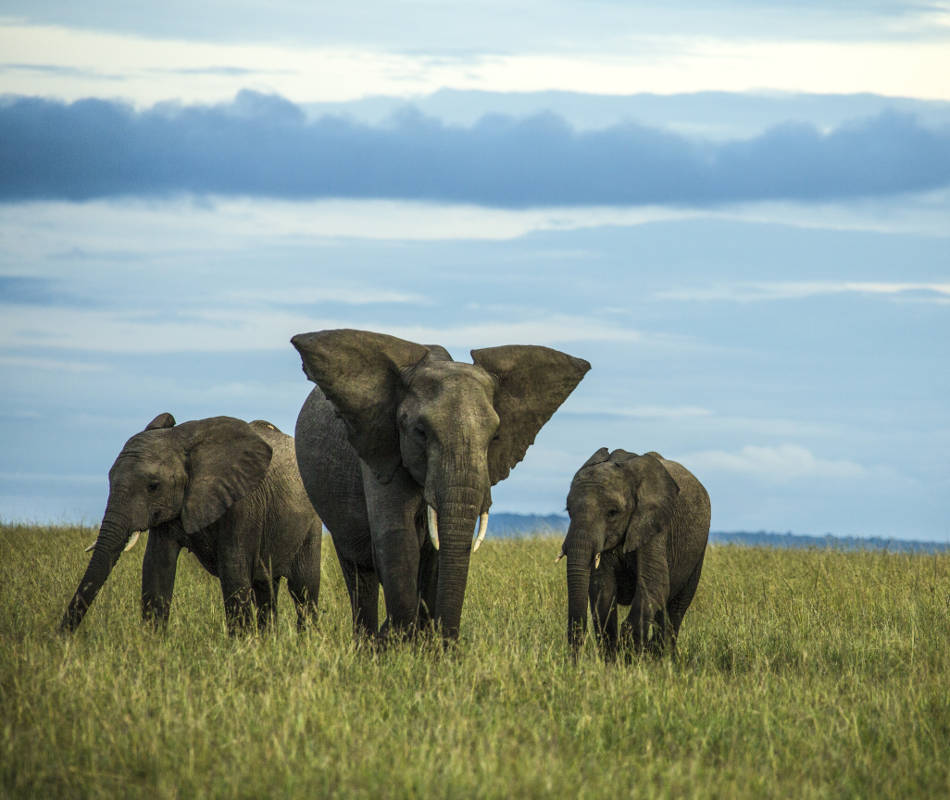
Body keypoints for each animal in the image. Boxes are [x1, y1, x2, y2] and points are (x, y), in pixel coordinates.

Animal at [63, 416, 326, 636]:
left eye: (153, 486)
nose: (61, 638)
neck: (183, 440)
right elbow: (157, 567)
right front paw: (152, 647)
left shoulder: (243, 504)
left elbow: (234, 571)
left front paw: (241, 650)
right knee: (266, 588)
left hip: (311, 523)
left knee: (303, 589)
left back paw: (306, 642)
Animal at [290, 328, 592, 640]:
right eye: (420, 432)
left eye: (495, 438)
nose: (451, 644)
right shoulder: (382, 448)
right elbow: (397, 538)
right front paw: (400, 644)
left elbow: (436, 556)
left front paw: (426, 645)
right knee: (359, 572)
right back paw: (368, 642)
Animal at [560, 446, 712, 660]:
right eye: (568, 510)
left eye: (613, 512)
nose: (575, 662)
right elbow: (602, 588)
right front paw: (613, 660)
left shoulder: (655, 524)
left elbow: (654, 582)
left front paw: (630, 656)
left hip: (698, 551)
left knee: (675, 608)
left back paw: (662, 658)